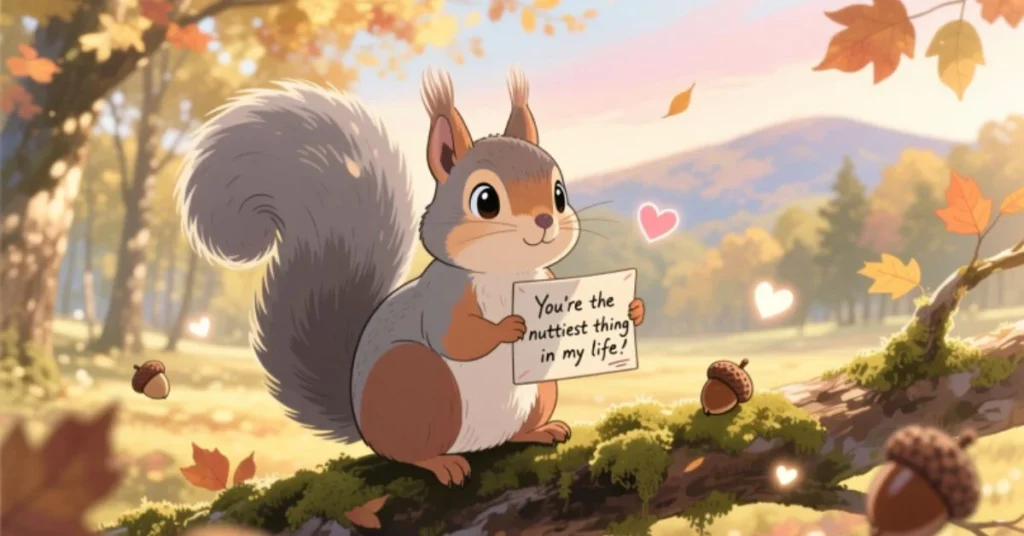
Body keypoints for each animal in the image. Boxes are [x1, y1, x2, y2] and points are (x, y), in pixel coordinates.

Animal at [175, 67, 646, 486]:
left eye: (559, 193)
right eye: (485, 200)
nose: (546, 220)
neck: (505, 272)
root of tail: (362, 423)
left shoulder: (544, 281)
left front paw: (633, 309)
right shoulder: (444, 297)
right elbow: (455, 337)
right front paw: (509, 327)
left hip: (541, 390)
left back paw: (538, 431)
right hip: (418, 382)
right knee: (406, 452)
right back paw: (441, 464)